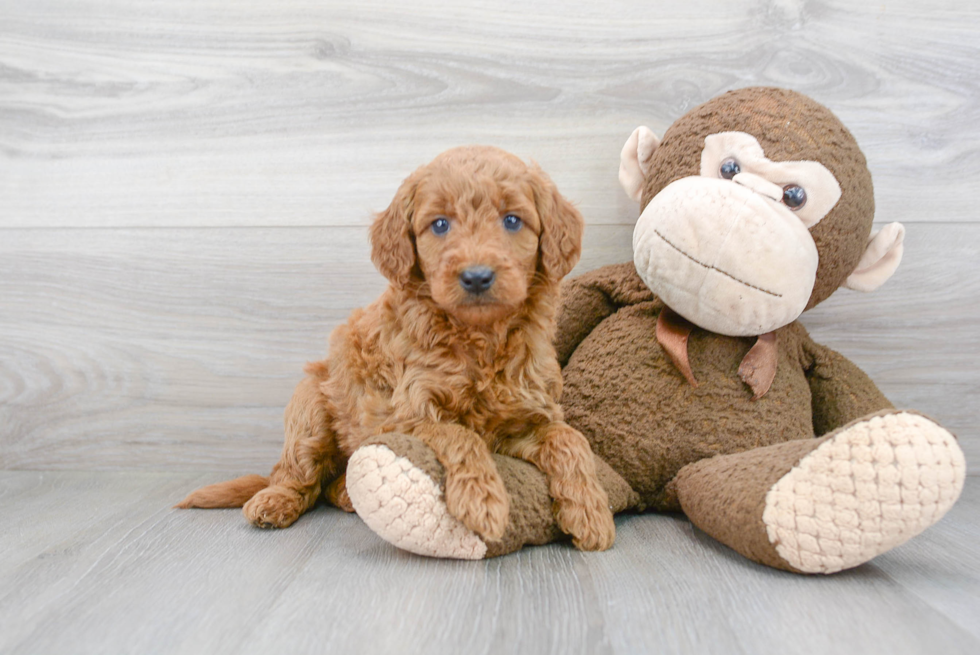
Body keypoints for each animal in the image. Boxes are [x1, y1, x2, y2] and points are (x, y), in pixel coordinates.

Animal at [178, 146, 612, 552]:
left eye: (512, 220)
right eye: (440, 224)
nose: (476, 277)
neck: (480, 339)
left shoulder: (528, 413)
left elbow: (571, 440)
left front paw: (591, 512)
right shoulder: (403, 415)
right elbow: (460, 435)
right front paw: (483, 502)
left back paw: (346, 493)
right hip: (309, 407)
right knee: (298, 473)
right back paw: (275, 501)